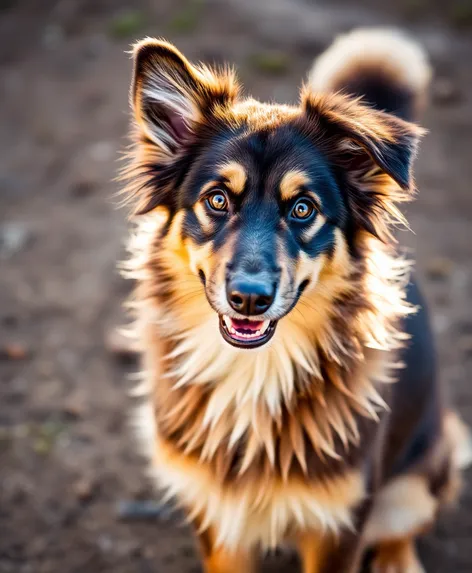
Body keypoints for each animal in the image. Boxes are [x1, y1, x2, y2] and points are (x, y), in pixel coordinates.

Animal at [121, 27, 472, 572]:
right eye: (217, 199)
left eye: (303, 208)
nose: (248, 299)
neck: (254, 372)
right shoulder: (217, 515)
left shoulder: (341, 520)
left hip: (412, 484)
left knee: (407, 523)